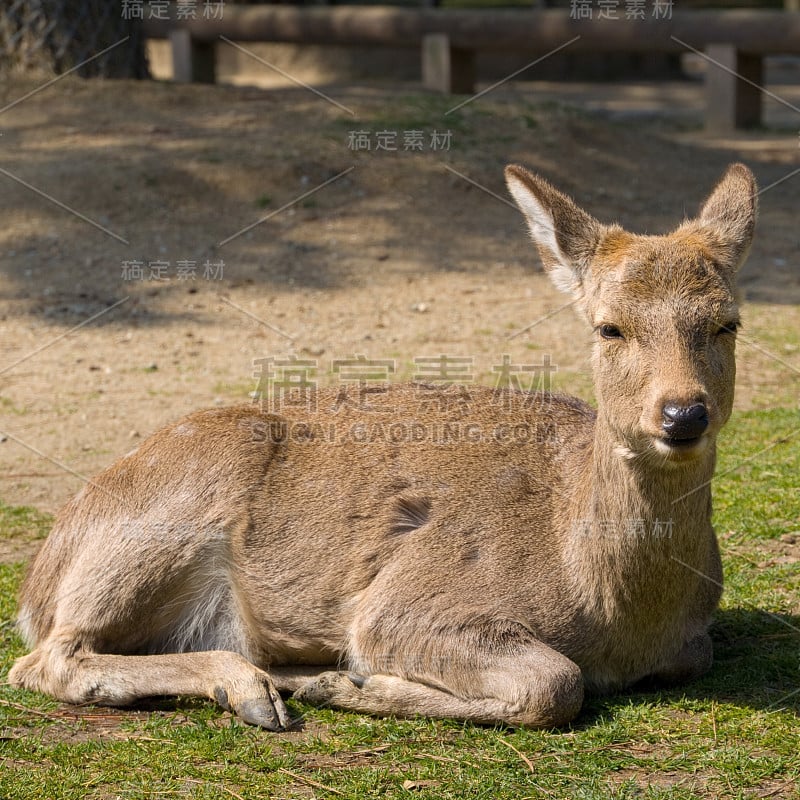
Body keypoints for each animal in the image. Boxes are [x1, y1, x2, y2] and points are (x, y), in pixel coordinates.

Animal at [7, 162, 756, 732]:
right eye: (609, 327)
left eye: (727, 323)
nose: (682, 414)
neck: (611, 608)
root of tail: (36, 584)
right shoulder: (406, 603)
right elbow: (554, 683)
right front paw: (343, 683)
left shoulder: (693, 645)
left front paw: (333, 682)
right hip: (160, 519)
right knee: (46, 659)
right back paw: (254, 690)